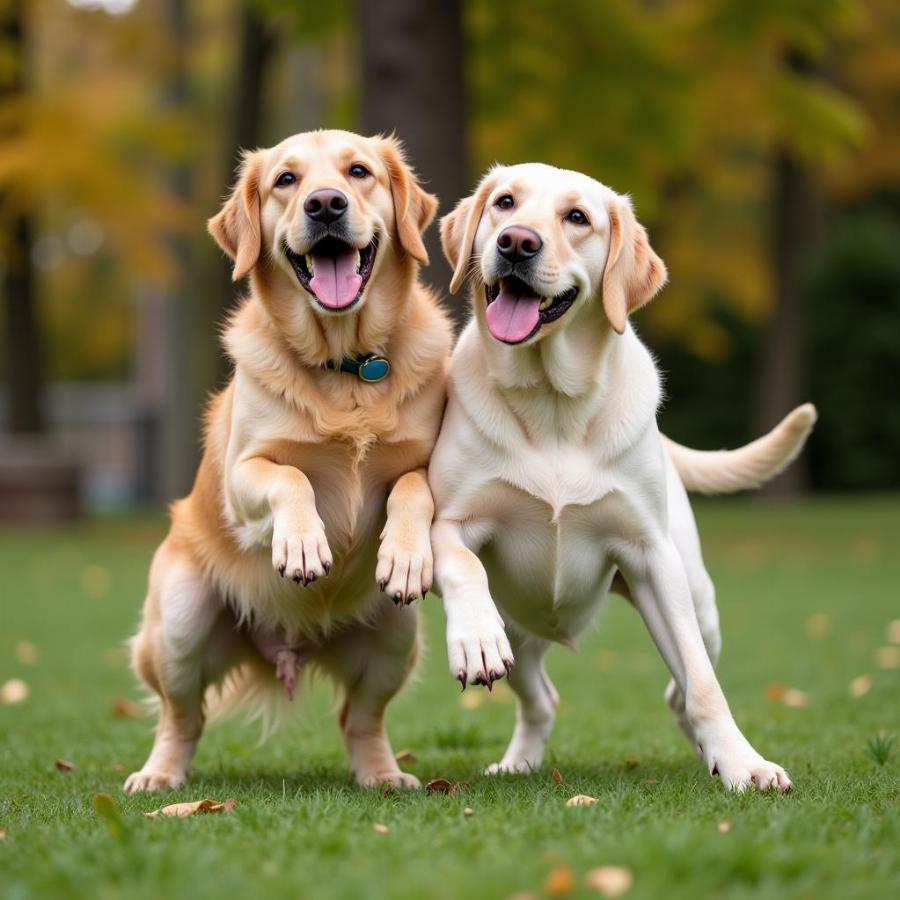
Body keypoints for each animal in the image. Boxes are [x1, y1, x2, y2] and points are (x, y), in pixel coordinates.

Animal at [121, 130, 450, 792]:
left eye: (359, 171)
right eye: (286, 181)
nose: (325, 204)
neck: (346, 365)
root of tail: (290, 647)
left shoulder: (433, 464)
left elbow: (411, 488)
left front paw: (404, 556)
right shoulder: (242, 474)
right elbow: (291, 476)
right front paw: (302, 546)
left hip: (397, 634)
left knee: (360, 719)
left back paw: (383, 774)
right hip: (180, 619)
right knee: (181, 717)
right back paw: (159, 775)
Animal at [428, 163, 816, 796]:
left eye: (577, 217)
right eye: (505, 203)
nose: (516, 242)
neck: (553, 405)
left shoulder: (652, 558)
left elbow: (704, 684)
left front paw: (744, 763)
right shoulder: (450, 521)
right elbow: (461, 565)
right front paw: (474, 641)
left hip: (701, 600)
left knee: (682, 686)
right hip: (523, 627)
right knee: (541, 697)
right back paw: (518, 761)